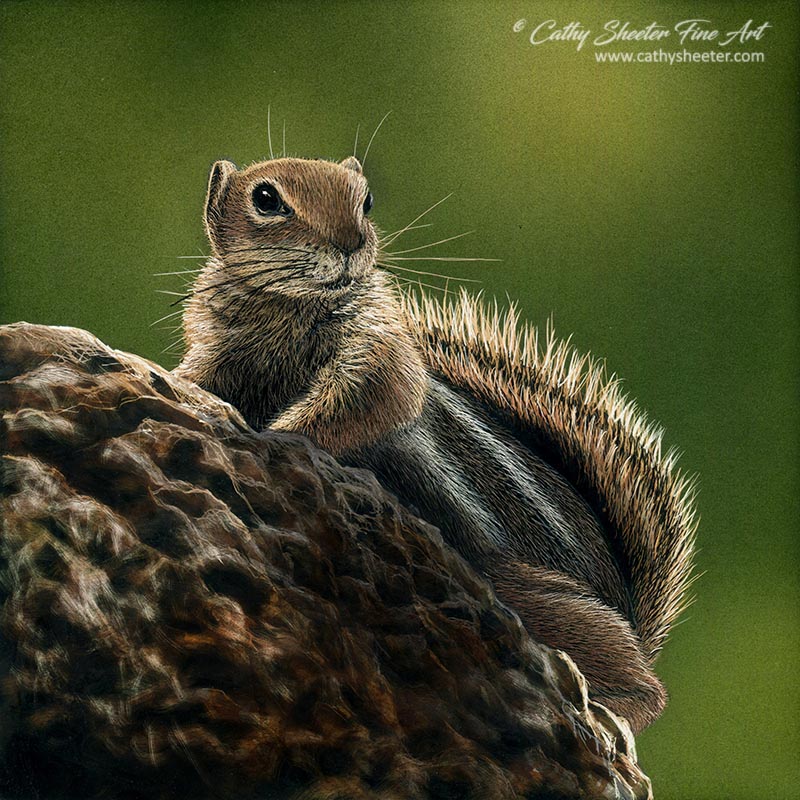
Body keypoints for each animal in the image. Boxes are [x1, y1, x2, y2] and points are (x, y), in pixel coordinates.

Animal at [174, 154, 697, 733]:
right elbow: (201, 377)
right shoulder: (220, 347)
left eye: (367, 200)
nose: (351, 243)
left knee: (643, 685)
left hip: (533, 599)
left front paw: (277, 433)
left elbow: (367, 399)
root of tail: (629, 605)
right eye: (266, 200)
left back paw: (612, 705)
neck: (285, 307)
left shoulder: (376, 349)